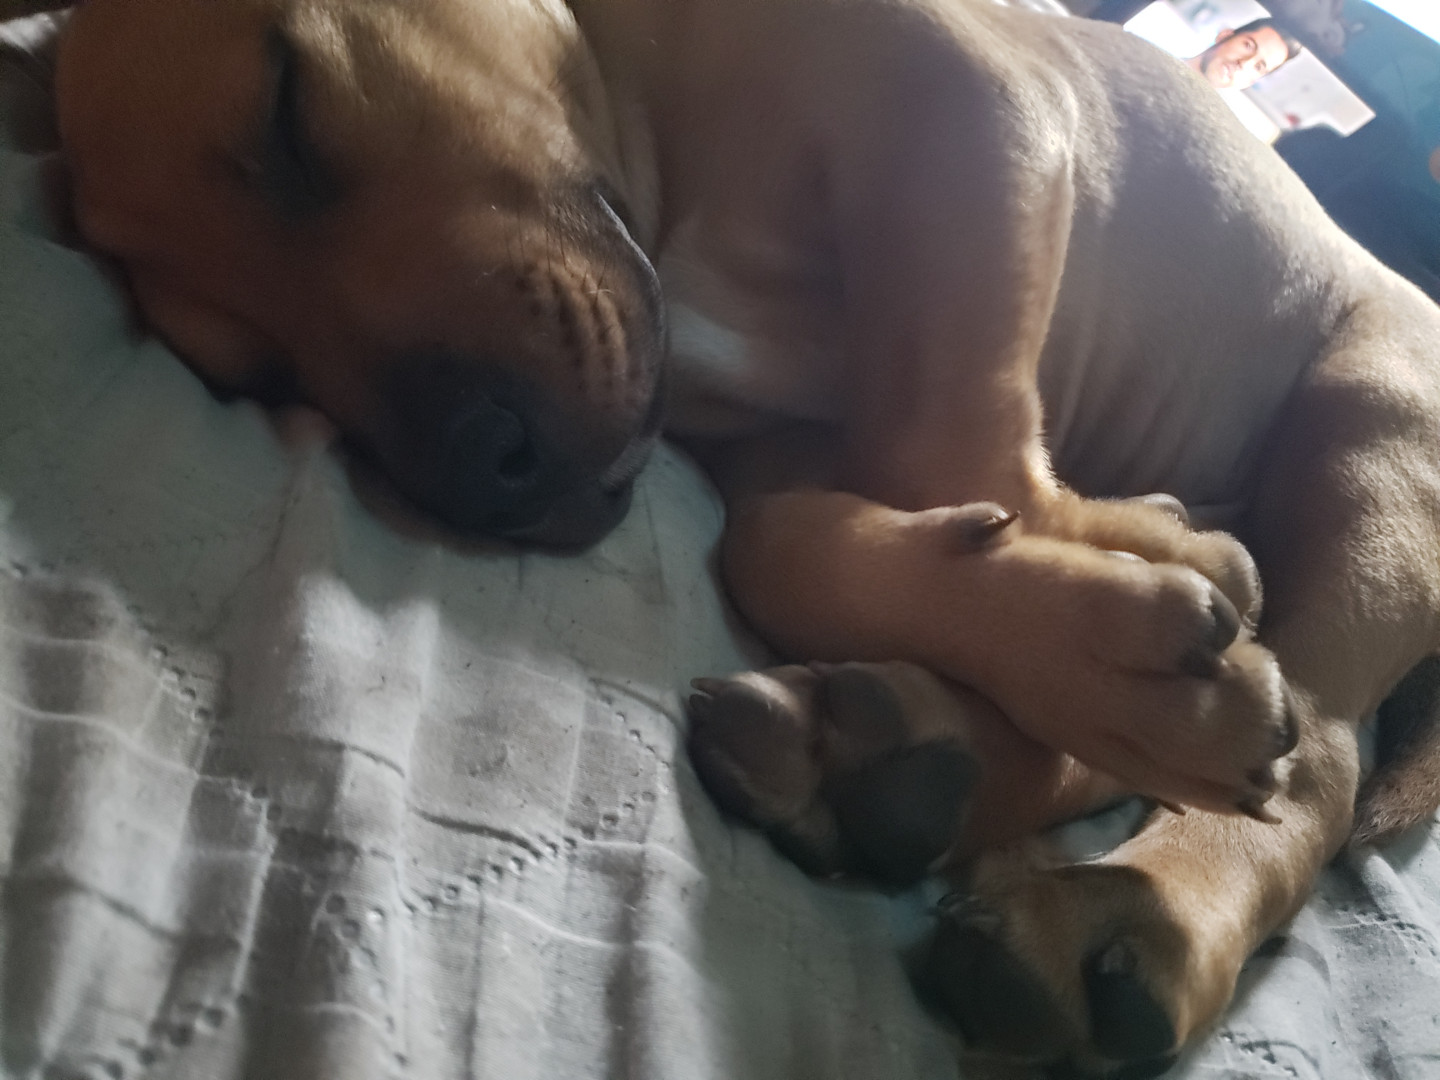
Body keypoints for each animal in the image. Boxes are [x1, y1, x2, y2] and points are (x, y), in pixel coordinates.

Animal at [29, 0, 1440, 1072]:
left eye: (288, 110)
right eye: (254, 372)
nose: (482, 469)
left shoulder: (972, 110)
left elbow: (944, 446)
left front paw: (1118, 565)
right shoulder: (775, 449)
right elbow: (780, 542)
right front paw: (1083, 620)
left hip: (1375, 443)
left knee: (1317, 758)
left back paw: (1128, 897)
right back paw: (895, 763)